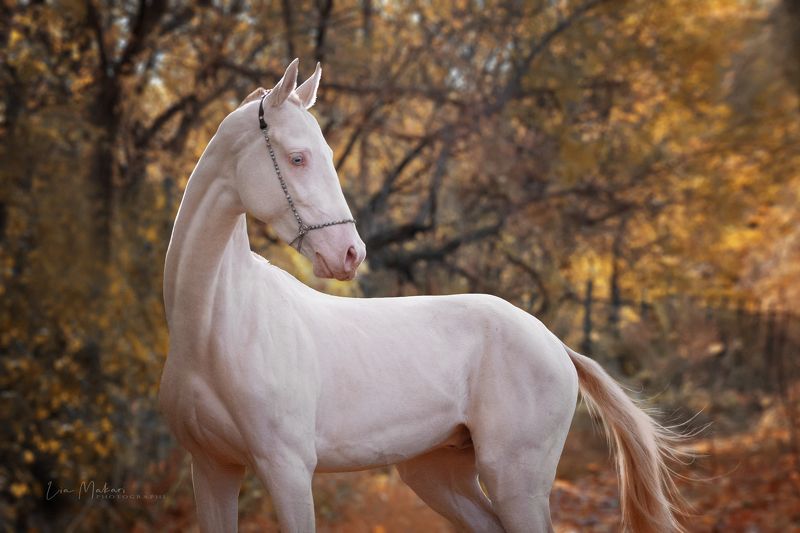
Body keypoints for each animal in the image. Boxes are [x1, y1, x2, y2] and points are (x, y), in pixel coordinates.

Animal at [159, 59, 684, 533]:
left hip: (517, 481)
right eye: (298, 158)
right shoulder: (213, 470)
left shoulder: (287, 472)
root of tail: (554, 343)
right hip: (439, 474)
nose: (350, 253)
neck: (219, 326)